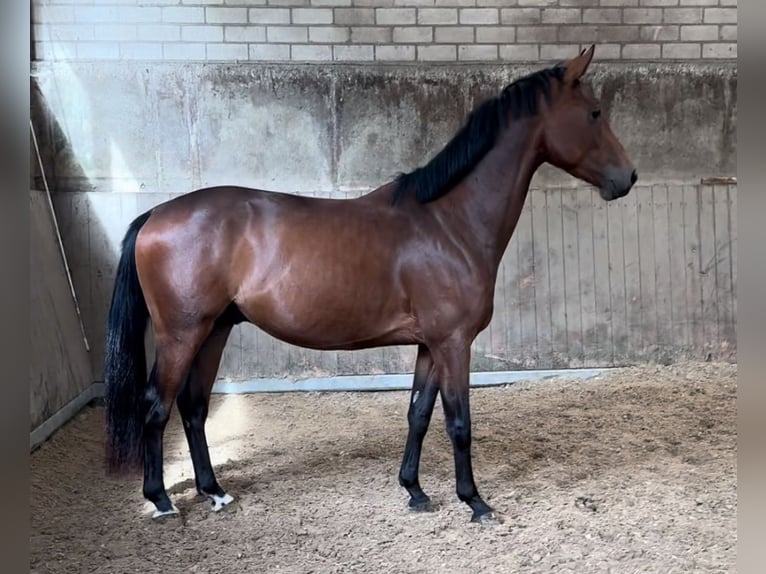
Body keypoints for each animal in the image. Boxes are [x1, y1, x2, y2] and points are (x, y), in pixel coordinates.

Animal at [103, 45, 636, 524]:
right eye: (594, 112)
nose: (628, 178)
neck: (449, 222)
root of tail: (155, 214)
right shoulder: (454, 343)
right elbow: (458, 422)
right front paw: (474, 502)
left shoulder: (430, 345)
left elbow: (418, 414)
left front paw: (415, 491)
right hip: (182, 334)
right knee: (157, 407)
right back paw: (161, 500)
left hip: (214, 329)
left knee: (193, 407)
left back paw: (214, 491)